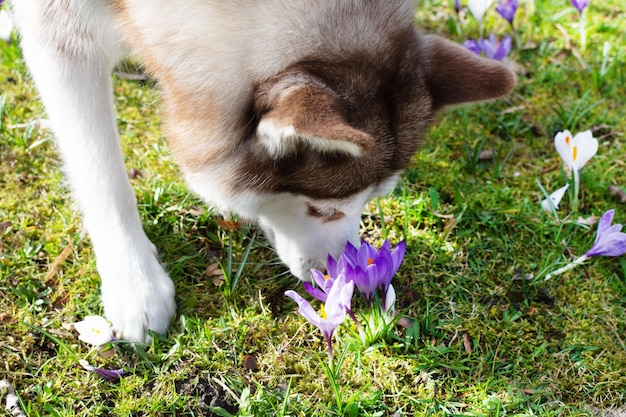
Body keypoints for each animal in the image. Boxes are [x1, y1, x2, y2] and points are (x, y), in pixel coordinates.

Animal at [12, 0, 516, 340]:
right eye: (321, 208)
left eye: (372, 200)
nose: (336, 278)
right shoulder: (59, 30)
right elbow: (101, 170)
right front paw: (134, 282)